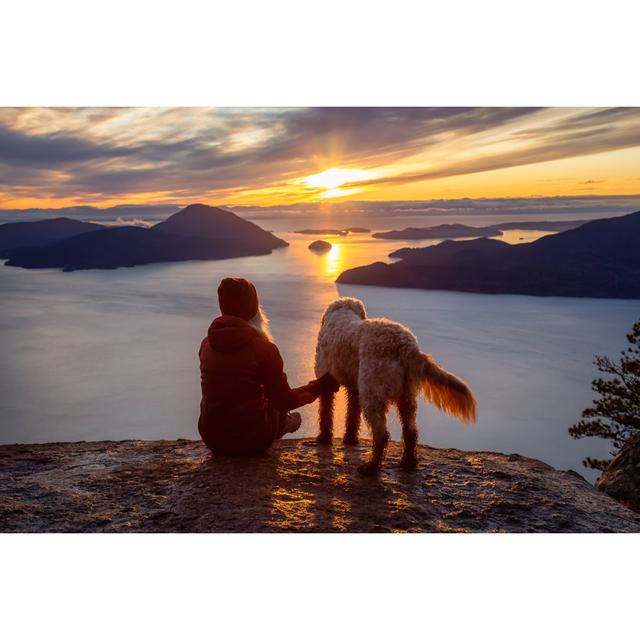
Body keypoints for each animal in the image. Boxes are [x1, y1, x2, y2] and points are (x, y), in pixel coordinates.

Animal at [316, 298, 476, 472]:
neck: (341, 313)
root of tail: (407, 347)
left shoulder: (326, 383)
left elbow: (326, 413)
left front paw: (324, 438)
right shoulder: (354, 388)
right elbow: (352, 415)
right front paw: (350, 439)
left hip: (372, 394)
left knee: (381, 434)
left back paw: (371, 467)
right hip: (406, 396)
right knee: (411, 432)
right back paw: (408, 462)